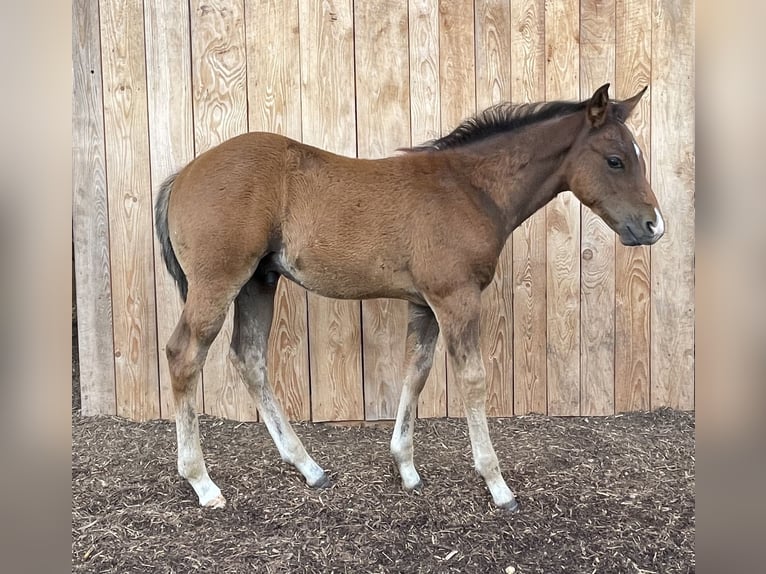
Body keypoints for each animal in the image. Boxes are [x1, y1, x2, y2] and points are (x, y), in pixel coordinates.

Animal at [154, 83, 664, 512]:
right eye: (615, 159)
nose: (654, 226)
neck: (470, 188)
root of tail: (184, 173)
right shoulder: (456, 298)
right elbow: (473, 380)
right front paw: (497, 486)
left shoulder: (425, 303)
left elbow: (415, 373)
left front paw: (406, 468)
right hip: (219, 281)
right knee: (185, 354)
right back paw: (202, 482)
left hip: (259, 281)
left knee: (250, 357)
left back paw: (309, 467)